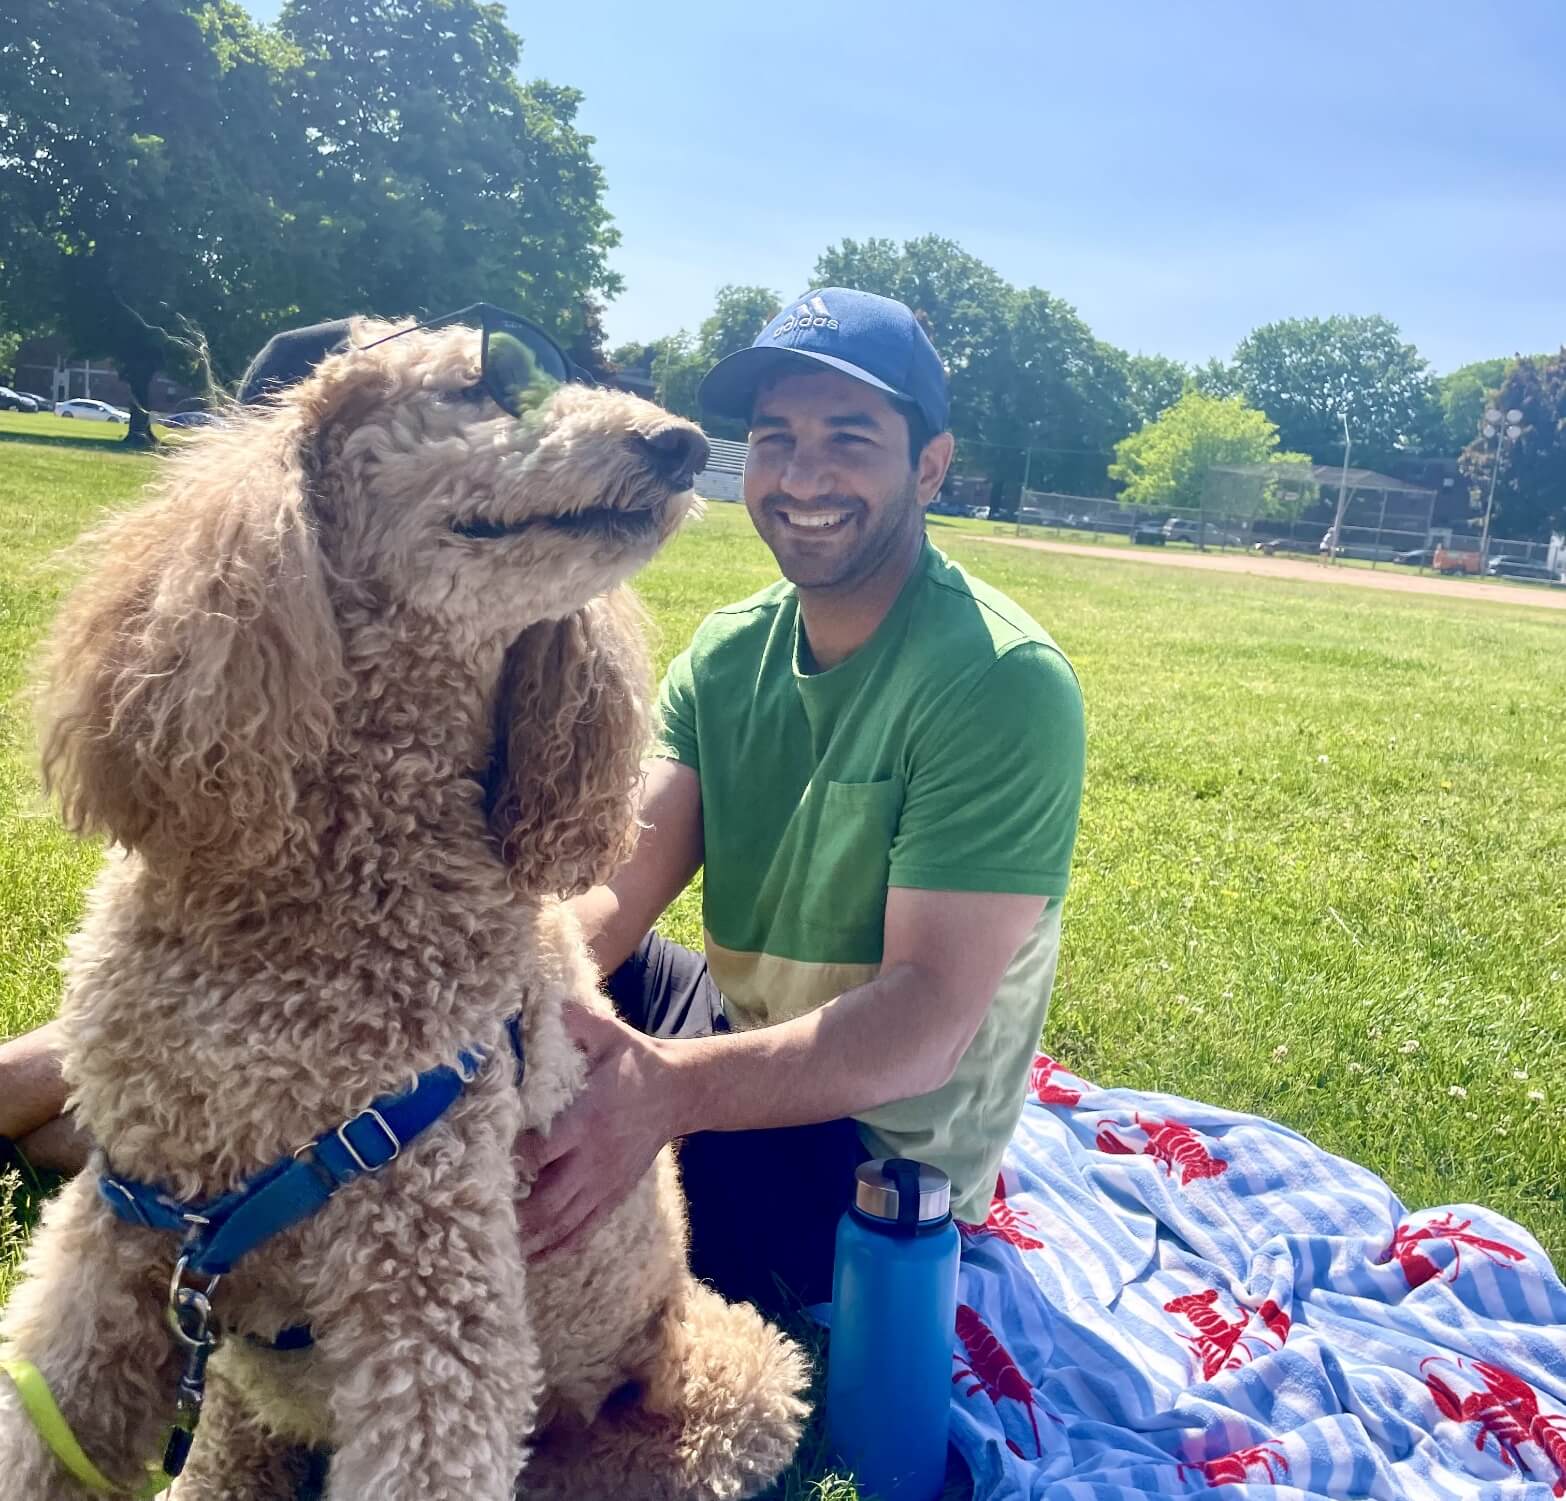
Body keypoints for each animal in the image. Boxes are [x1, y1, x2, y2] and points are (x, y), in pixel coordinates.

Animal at [0, 325, 808, 1501]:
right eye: (483, 380)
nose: (684, 442)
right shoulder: (127, 1220)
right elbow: (45, 1427)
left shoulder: (427, 1284)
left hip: (734, 1380)